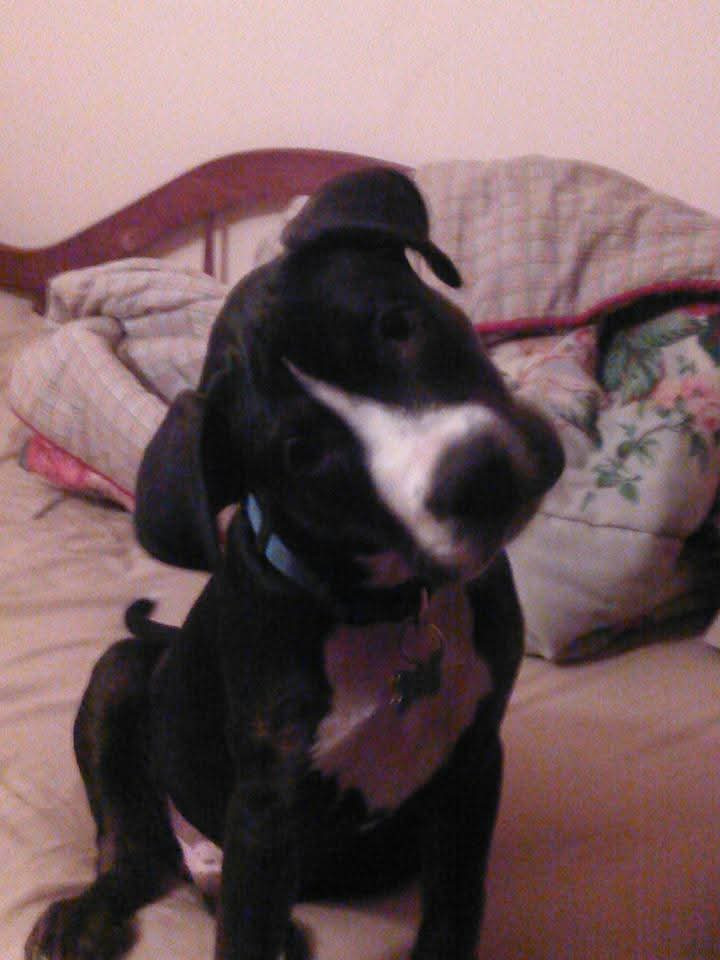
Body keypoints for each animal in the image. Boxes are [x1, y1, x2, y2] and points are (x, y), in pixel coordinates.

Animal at [25, 168, 564, 960]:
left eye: (397, 324)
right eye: (302, 455)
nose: (477, 474)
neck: (388, 607)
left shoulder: (472, 764)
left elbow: (455, 909)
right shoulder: (265, 818)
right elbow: (243, 933)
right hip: (121, 679)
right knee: (131, 847)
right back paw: (83, 918)